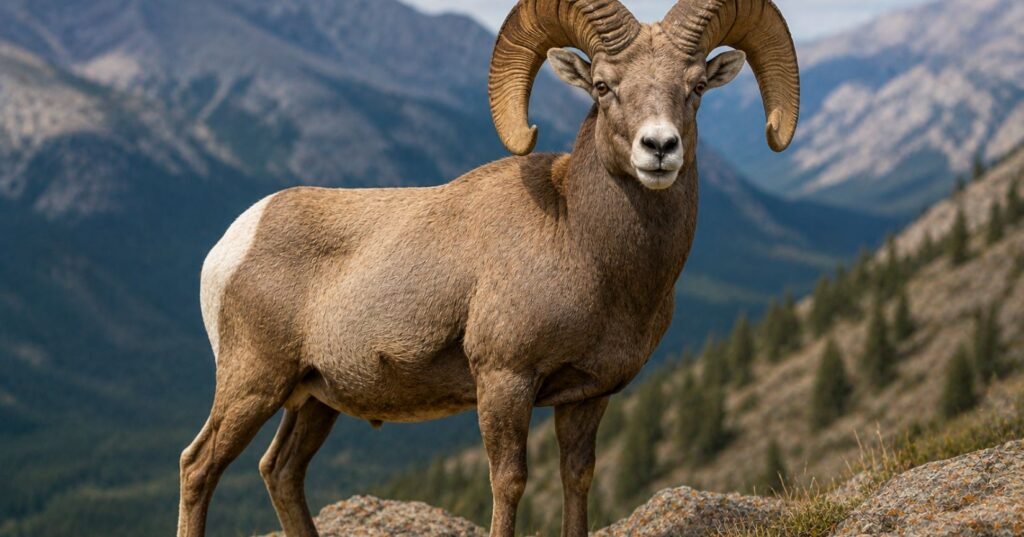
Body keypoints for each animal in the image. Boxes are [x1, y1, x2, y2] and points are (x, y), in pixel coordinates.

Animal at [177, 1, 800, 536]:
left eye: (696, 88)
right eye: (603, 86)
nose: (660, 148)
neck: (578, 242)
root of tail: (233, 242)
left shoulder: (586, 395)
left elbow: (577, 479)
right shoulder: (505, 380)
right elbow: (509, 482)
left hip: (313, 399)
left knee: (281, 471)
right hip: (253, 382)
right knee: (198, 466)